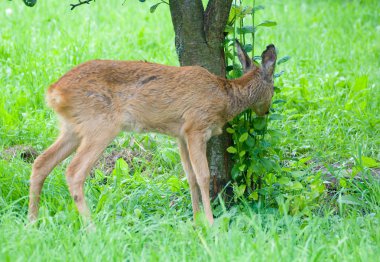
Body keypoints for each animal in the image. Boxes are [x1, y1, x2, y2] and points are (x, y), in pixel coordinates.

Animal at [27, 41, 276, 225]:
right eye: (274, 86)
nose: (266, 111)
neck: (225, 97)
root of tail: (54, 92)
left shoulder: (180, 135)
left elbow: (190, 176)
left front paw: (196, 221)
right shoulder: (196, 127)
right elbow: (204, 176)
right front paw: (211, 223)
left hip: (72, 128)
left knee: (41, 162)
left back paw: (32, 222)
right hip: (100, 126)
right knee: (73, 171)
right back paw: (91, 227)